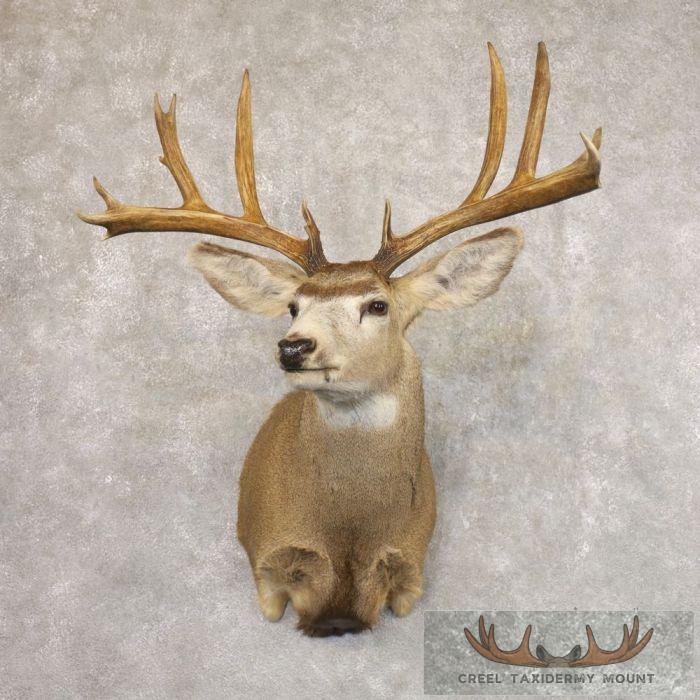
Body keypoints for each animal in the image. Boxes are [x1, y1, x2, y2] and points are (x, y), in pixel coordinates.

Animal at [78, 43, 602, 636]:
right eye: (293, 306)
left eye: (377, 305)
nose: (293, 346)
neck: (348, 533)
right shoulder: (268, 565)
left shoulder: (411, 564)